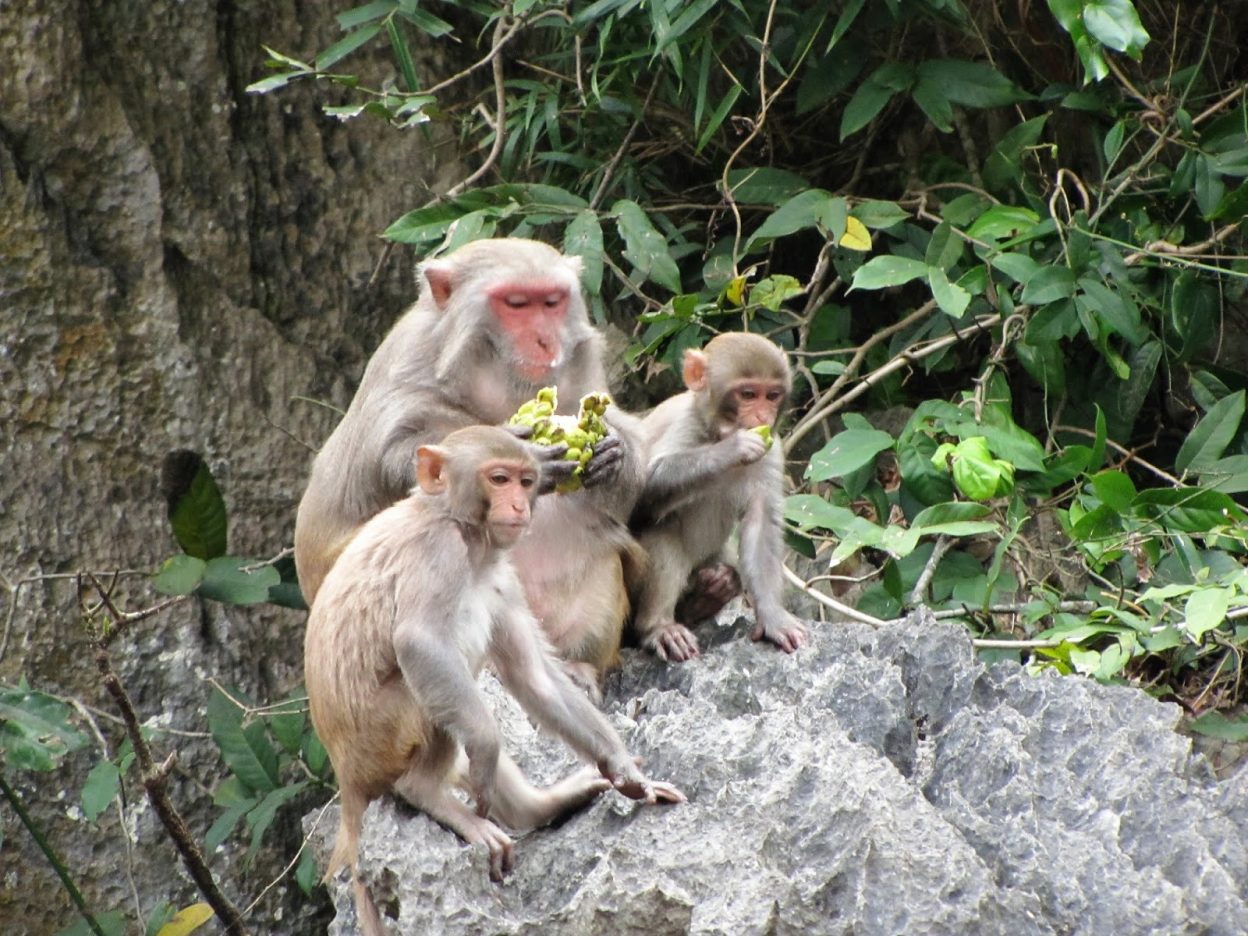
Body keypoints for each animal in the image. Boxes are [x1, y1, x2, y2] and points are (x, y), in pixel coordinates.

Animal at [294, 237, 648, 697]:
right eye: (516, 304)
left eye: (551, 302)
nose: (545, 340)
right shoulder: (409, 361)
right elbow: (400, 454)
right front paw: (520, 448)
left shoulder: (580, 369)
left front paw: (612, 454)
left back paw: (577, 666)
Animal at [305, 426, 684, 935]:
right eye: (498, 479)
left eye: (525, 481)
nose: (520, 505)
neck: (463, 529)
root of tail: (346, 779)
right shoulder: (439, 551)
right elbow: (419, 643)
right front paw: (485, 748)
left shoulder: (503, 576)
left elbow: (533, 677)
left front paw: (626, 772)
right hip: (379, 741)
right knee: (434, 682)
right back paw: (427, 791)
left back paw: (537, 808)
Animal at [629, 332, 809, 662]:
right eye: (748, 394)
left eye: (773, 395)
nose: (763, 416)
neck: (712, 431)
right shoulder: (684, 425)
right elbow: (639, 488)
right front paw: (733, 448)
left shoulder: (772, 451)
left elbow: (761, 524)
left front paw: (773, 618)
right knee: (662, 529)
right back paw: (658, 626)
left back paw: (708, 595)